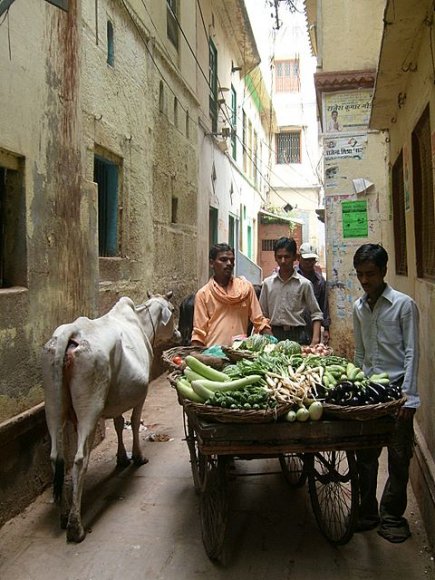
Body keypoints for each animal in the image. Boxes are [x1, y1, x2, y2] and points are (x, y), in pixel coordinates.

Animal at [41, 292, 181, 540]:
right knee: (79, 459)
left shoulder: (118, 398)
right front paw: (138, 456)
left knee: (56, 458)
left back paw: (64, 514)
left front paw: (122, 457)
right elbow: (132, 423)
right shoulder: (141, 394)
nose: (178, 333)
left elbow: (117, 424)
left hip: (53, 407)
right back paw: (75, 525)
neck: (141, 323)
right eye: (172, 310)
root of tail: (72, 332)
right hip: (90, 407)